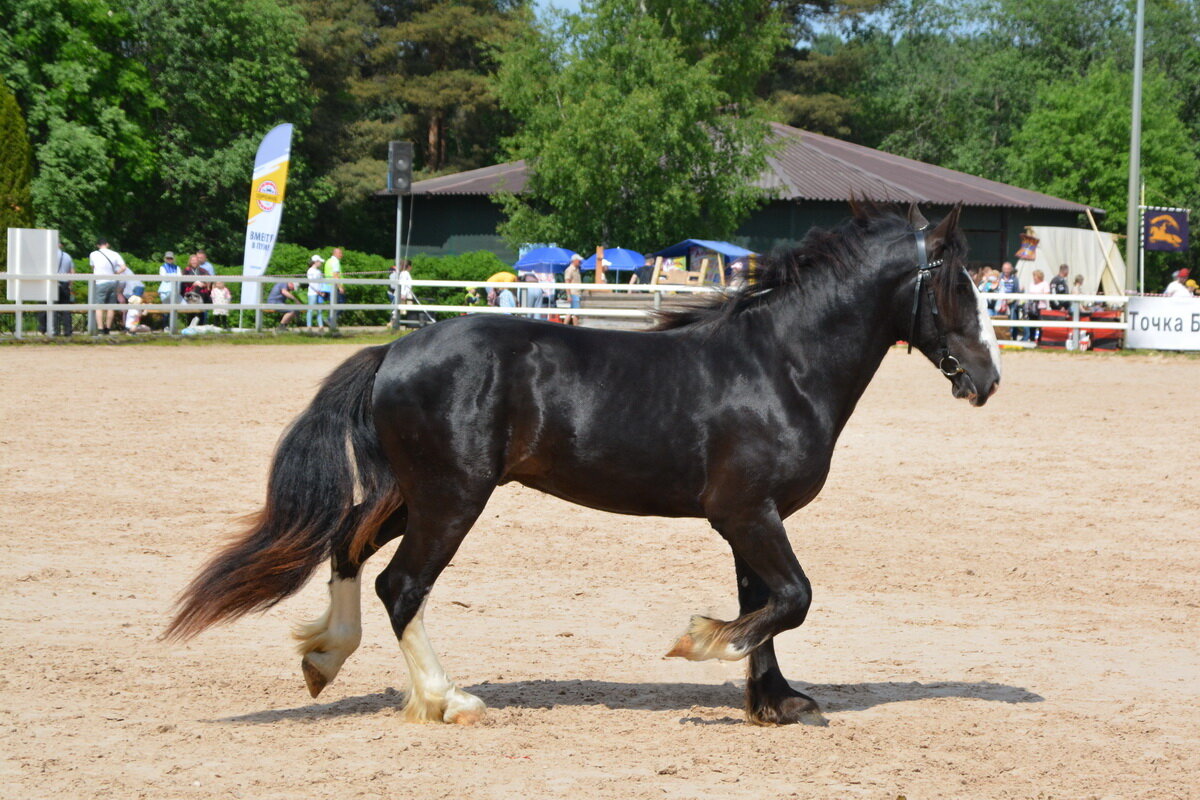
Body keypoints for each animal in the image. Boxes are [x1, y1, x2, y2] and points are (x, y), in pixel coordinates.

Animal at [164, 205, 998, 724]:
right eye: (959, 284)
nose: (986, 380)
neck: (779, 366)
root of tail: (393, 350)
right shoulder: (746, 515)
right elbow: (790, 599)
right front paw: (700, 641)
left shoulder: (751, 520)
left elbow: (769, 607)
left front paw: (777, 702)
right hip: (451, 498)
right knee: (401, 585)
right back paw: (447, 700)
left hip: (414, 493)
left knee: (345, 547)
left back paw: (325, 658)